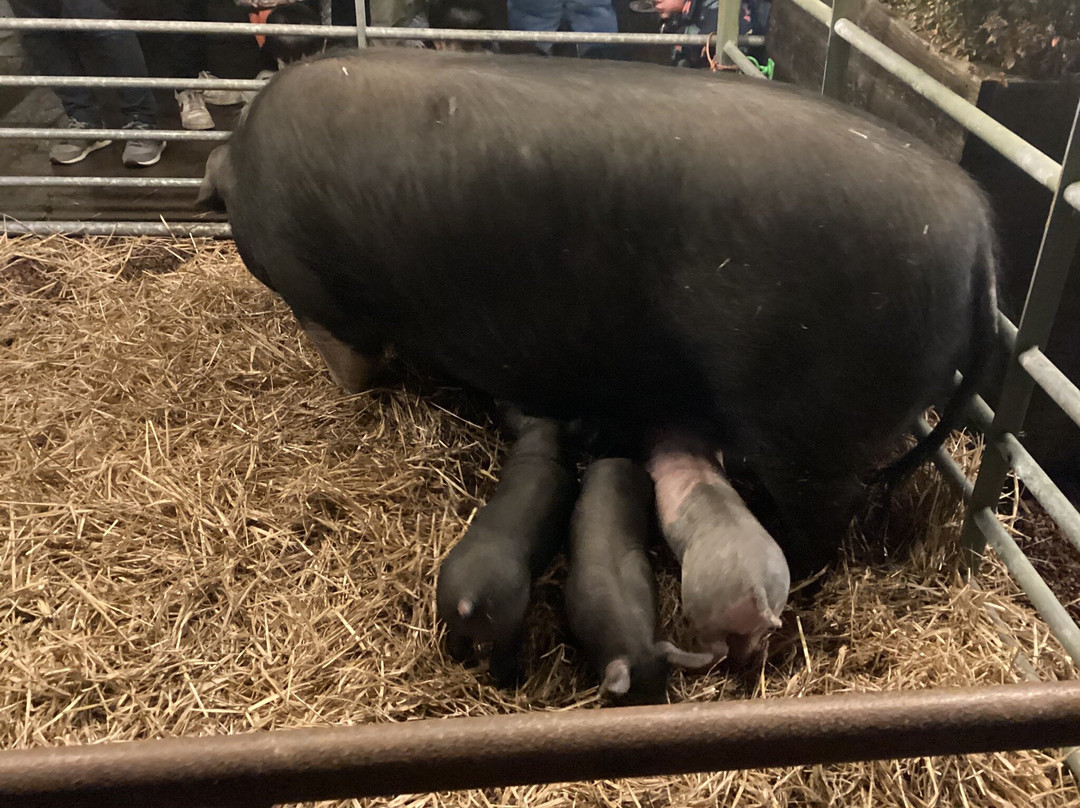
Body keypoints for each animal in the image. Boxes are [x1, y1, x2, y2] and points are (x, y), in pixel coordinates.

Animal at [196, 47, 999, 579]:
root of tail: (977, 232)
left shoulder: (322, 299)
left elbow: (352, 361)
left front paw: (347, 388)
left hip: (814, 417)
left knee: (825, 517)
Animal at [436, 411, 578, 686]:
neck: (538, 452)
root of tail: (468, 597)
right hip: (506, 625)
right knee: (500, 660)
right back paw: (514, 680)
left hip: (450, 611)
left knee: (457, 645)